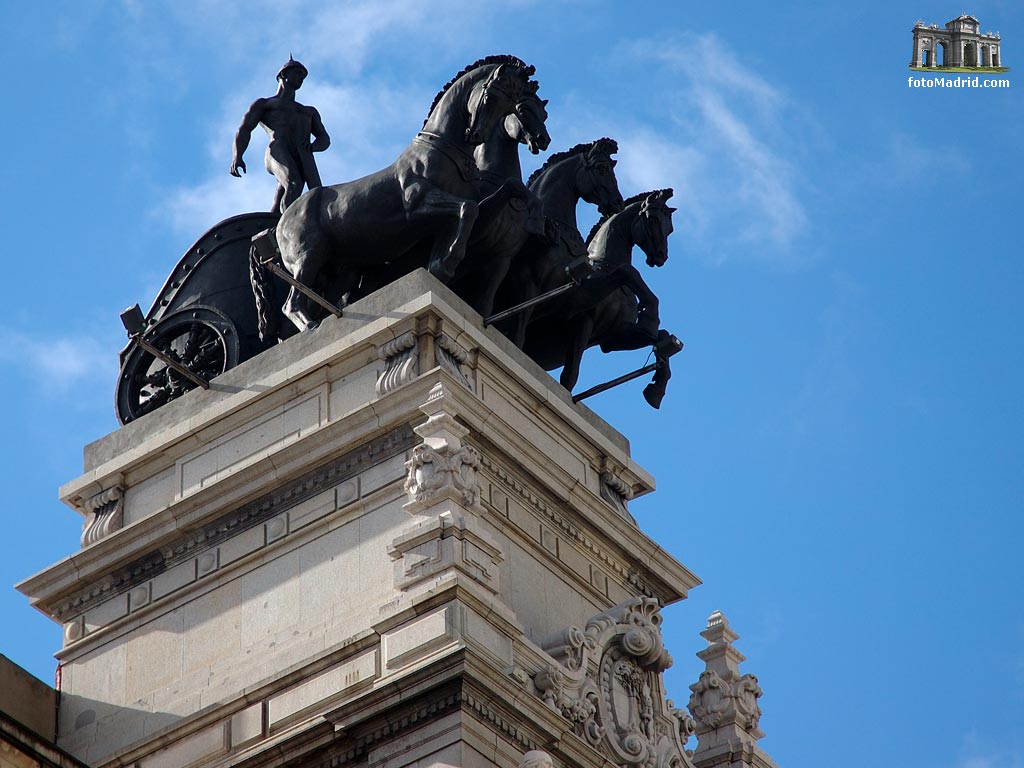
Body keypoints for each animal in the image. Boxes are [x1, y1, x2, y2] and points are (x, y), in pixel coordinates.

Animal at [258, 54, 536, 331]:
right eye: (490, 98)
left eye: (510, 107)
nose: (476, 134)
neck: (441, 152)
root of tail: (281, 221)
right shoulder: (418, 204)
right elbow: (469, 207)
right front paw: (447, 264)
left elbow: (477, 208)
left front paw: (441, 266)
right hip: (308, 257)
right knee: (291, 304)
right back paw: (310, 325)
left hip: (341, 271)